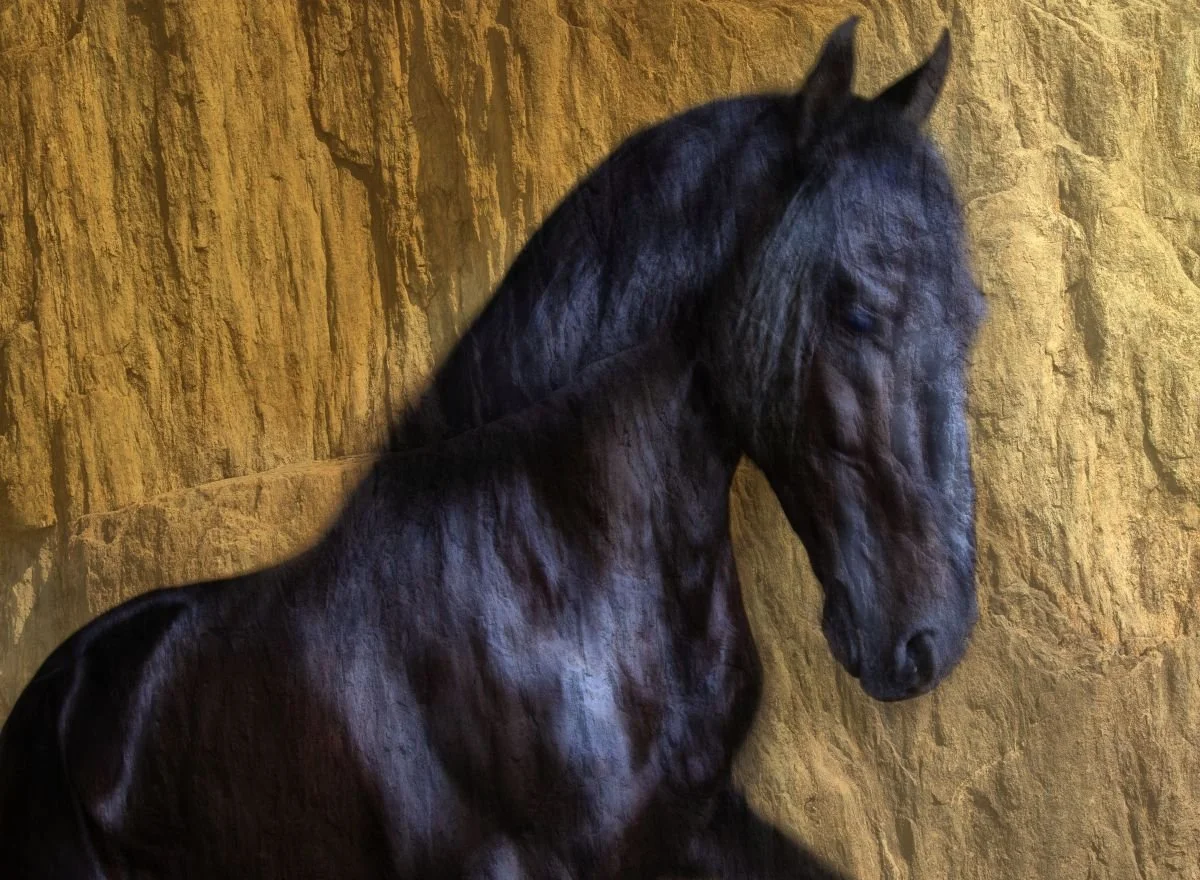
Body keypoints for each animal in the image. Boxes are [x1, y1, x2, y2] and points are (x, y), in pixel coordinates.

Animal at [0, 17, 986, 879]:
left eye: (973, 312)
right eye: (857, 311)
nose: (926, 637)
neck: (545, 568)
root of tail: (56, 692)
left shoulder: (698, 829)